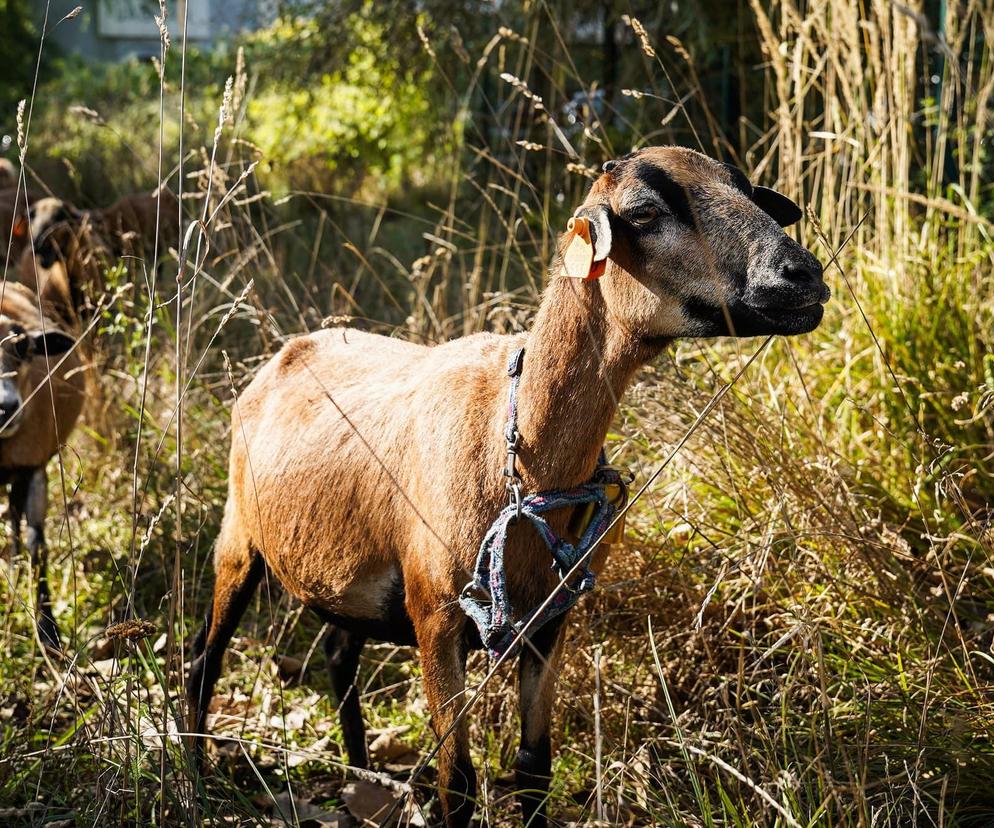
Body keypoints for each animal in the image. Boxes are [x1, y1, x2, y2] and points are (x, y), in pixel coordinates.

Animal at [188, 146, 828, 824]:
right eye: (645, 212)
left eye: (750, 192)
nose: (803, 275)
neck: (517, 449)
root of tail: (289, 349)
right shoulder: (436, 617)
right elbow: (458, 783)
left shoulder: (549, 621)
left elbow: (531, 770)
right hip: (239, 541)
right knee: (204, 660)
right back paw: (197, 780)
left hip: (349, 571)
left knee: (338, 656)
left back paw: (360, 779)